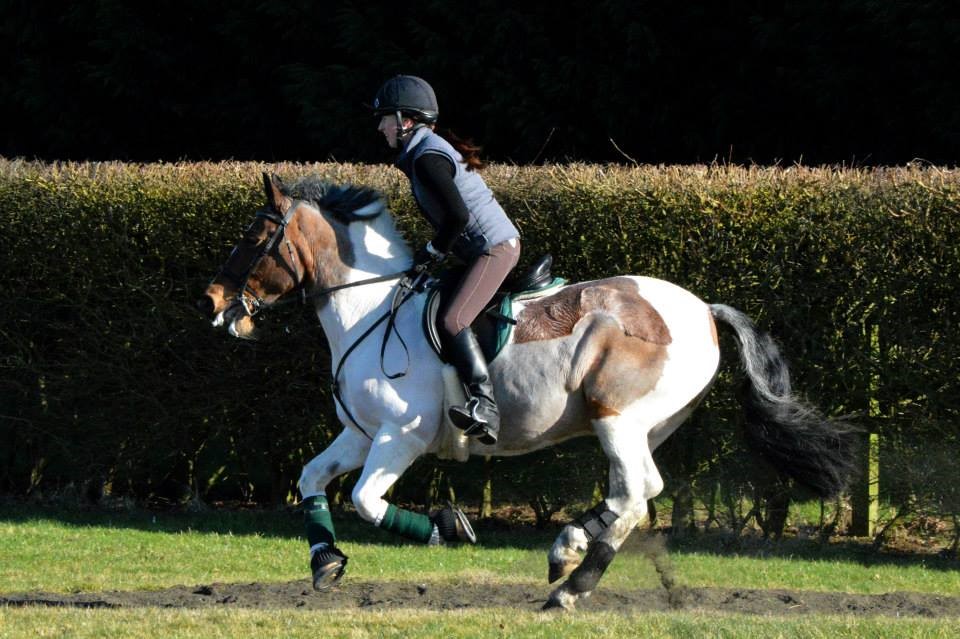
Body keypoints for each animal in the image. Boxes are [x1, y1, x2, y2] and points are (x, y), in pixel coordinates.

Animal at [199, 172, 860, 612]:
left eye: (255, 236)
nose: (213, 301)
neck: (370, 307)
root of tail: (703, 310)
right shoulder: (362, 434)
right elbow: (312, 479)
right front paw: (326, 562)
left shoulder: (399, 437)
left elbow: (365, 500)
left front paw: (448, 527)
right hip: (643, 425)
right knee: (638, 492)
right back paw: (567, 551)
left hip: (615, 416)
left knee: (634, 495)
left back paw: (572, 587)